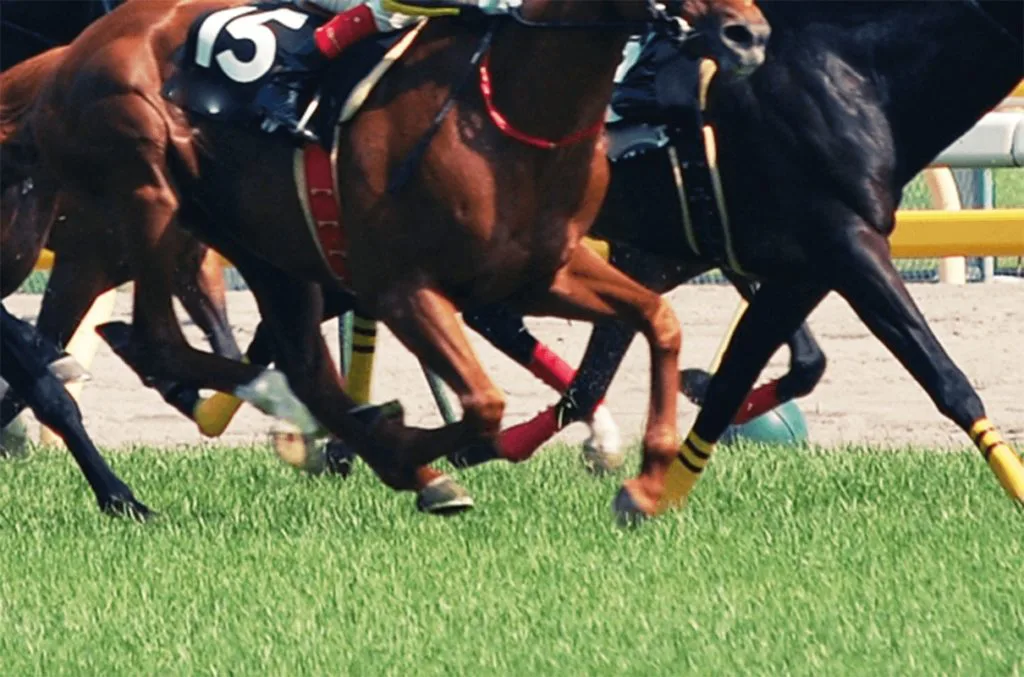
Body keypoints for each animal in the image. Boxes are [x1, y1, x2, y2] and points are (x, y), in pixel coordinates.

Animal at [8, 0, 769, 516]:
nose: (749, 34)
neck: (508, 107)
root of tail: (71, 54)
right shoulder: (401, 285)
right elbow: (485, 404)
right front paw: (414, 448)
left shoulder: (541, 271)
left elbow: (659, 321)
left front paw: (647, 479)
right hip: (145, 194)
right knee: (158, 339)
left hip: (266, 251)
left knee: (295, 366)